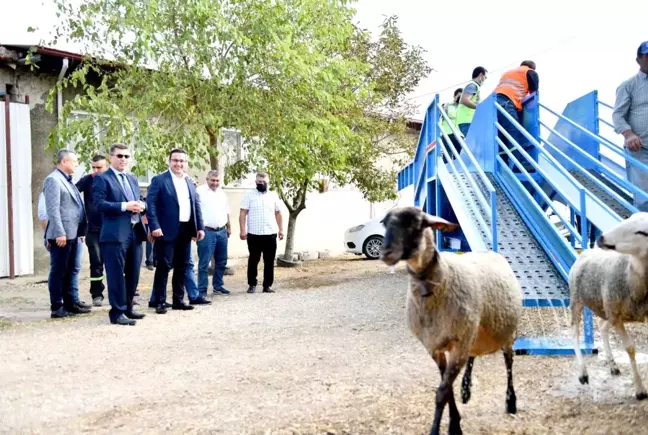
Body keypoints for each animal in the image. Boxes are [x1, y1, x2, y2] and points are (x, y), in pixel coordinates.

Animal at [380, 207, 520, 435]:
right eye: (384, 223)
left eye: (415, 223)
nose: (385, 253)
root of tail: (489, 251)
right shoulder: (435, 348)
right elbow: (447, 389)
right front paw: (455, 423)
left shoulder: (458, 344)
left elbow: (442, 392)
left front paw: (438, 429)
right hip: (473, 332)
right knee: (473, 356)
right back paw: (466, 389)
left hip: (506, 332)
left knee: (509, 362)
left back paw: (511, 401)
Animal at [568, 212, 648, 402]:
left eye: (642, 232)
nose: (601, 238)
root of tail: (587, 250)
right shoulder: (616, 316)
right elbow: (630, 348)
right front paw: (640, 390)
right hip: (577, 300)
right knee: (575, 331)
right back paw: (583, 373)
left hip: (607, 310)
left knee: (602, 326)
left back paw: (613, 365)